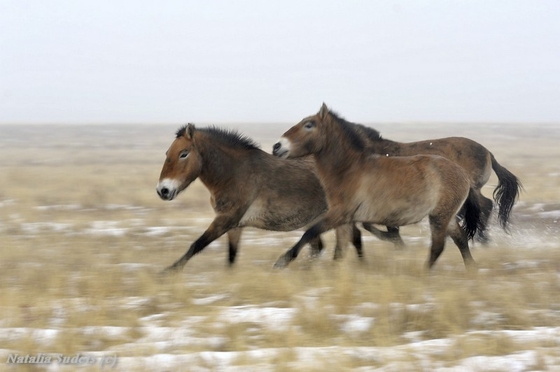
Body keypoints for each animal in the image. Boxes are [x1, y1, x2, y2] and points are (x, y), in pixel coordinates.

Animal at [156, 123, 364, 272]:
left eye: (183, 154)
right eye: (167, 153)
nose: (162, 190)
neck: (235, 173)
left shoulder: (225, 220)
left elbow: (196, 245)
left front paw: (168, 272)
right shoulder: (235, 226)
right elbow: (231, 256)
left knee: (346, 242)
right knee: (332, 244)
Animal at [272, 104, 482, 270]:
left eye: (309, 125)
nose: (277, 146)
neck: (348, 170)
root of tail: (462, 174)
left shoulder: (338, 214)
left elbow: (311, 232)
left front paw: (282, 261)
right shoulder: (345, 220)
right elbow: (341, 249)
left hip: (439, 217)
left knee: (438, 246)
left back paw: (423, 274)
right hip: (448, 217)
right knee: (461, 239)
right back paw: (471, 269)